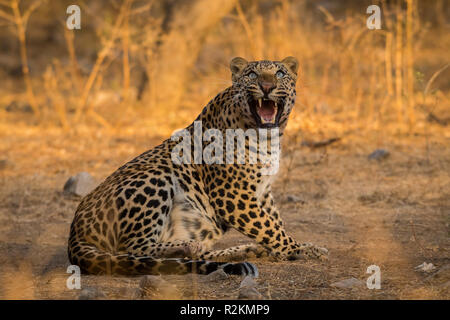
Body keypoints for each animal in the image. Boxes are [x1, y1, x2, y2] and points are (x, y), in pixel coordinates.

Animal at [67, 56, 326, 276]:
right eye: (252, 74)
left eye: (280, 73)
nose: (267, 86)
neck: (268, 137)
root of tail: (74, 233)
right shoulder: (232, 194)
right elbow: (268, 226)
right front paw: (300, 250)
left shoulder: (263, 191)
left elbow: (274, 222)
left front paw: (286, 248)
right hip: (155, 176)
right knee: (132, 249)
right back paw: (187, 246)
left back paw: (240, 250)